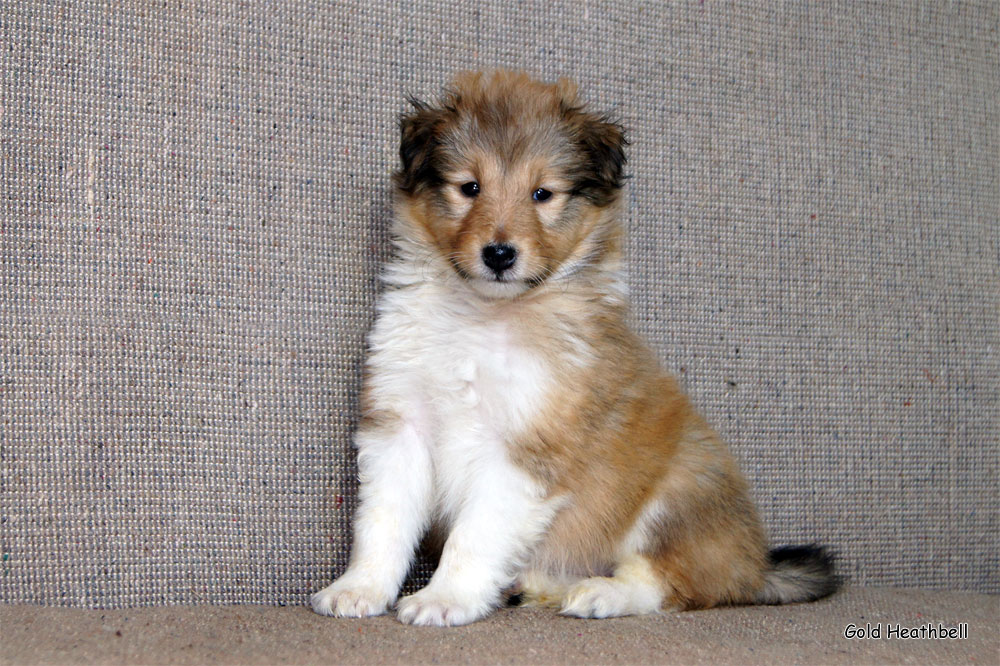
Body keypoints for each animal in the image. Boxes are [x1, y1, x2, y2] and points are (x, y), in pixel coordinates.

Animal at [310, 70, 836, 624]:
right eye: (469, 187)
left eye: (542, 193)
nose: (499, 253)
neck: (485, 316)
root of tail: (754, 564)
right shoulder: (399, 426)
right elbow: (381, 523)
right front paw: (358, 589)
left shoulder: (525, 448)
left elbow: (472, 537)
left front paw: (444, 598)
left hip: (681, 491)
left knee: (671, 583)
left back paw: (601, 593)